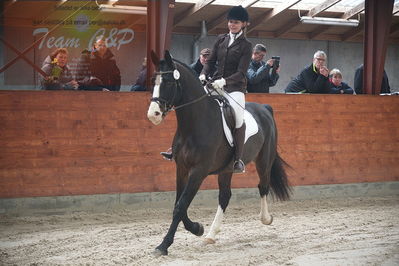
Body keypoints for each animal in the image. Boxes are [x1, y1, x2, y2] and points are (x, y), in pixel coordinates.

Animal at [147, 50, 290, 256]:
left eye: (167, 82)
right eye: (153, 81)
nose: (153, 115)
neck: (195, 124)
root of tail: (265, 108)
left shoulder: (198, 171)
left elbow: (181, 206)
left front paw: (163, 245)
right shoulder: (181, 168)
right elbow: (179, 204)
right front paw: (197, 228)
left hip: (264, 161)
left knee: (263, 186)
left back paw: (266, 219)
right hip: (226, 170)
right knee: (225, 196)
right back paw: (211, 235)